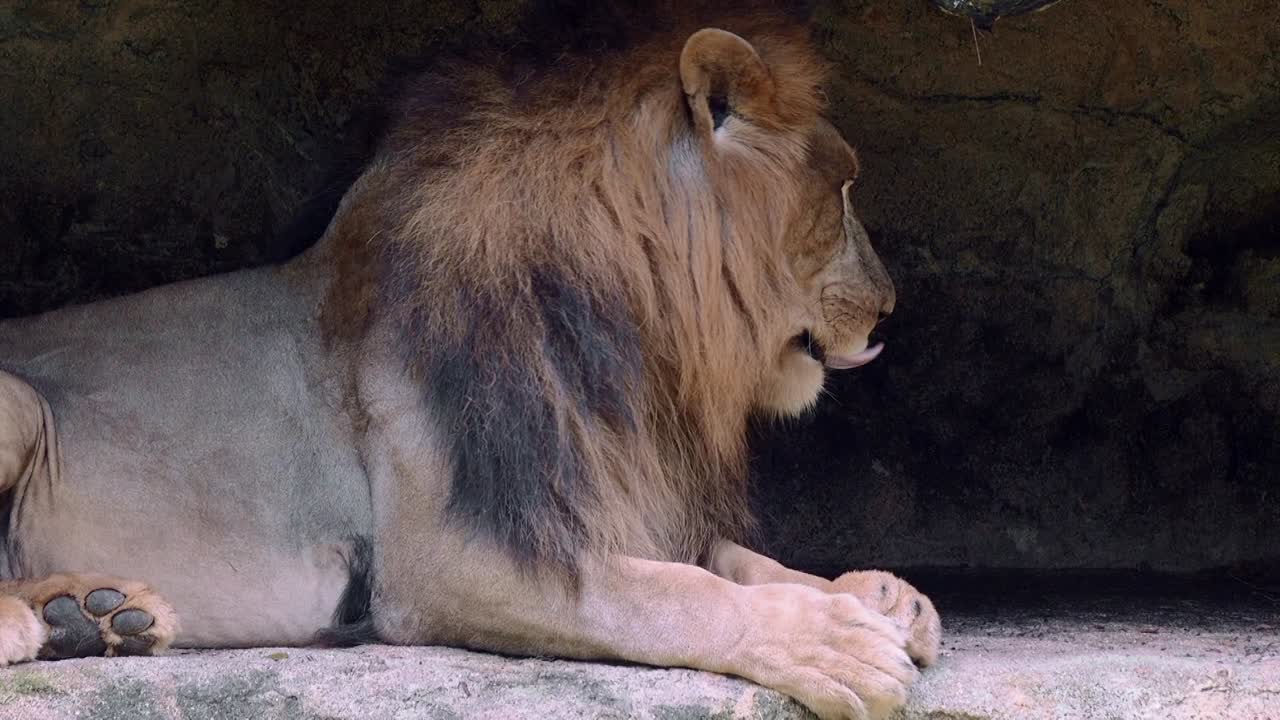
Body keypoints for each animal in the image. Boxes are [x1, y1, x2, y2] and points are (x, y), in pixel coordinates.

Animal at [0, 11, 940, 719]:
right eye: (843, 188)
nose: (892, 306)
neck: (640, 345)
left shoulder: (614, 490)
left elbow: (729, 557)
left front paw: (877, 598)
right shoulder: (450, 559)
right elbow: (671, 594)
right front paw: (833, 643)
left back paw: (97, 616)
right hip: (17, 402)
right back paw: (39, 622)